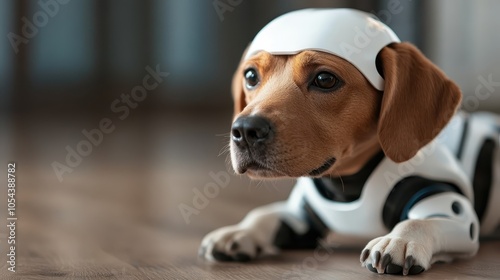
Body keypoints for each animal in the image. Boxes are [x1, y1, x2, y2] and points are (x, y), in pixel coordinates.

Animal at [199, 8, 500, 276]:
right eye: (250, 76)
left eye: (324, 79)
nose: (245, 130)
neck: (346, 184)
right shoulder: (301, 217)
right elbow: (264, 214)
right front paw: (240, 230)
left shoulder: (453, 210)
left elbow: (419, 223)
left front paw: (399, 239)